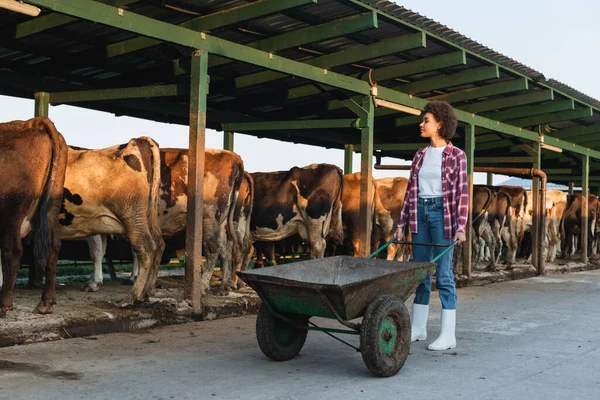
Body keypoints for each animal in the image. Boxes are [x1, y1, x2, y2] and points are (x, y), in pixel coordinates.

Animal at [0, 117, 67, 318]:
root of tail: (31, 124)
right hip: (52, 207)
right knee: (54, 246)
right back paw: (46, 302)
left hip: (12, 212)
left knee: (12, 252)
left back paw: (4, 304)